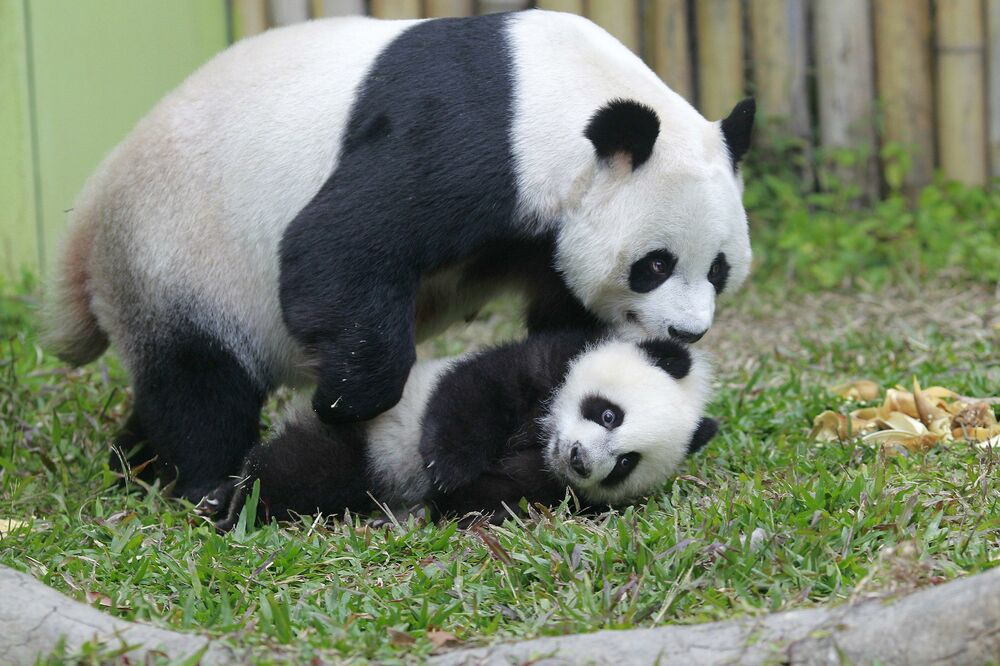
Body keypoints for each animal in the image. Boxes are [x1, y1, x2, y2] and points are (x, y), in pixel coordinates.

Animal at [43, 10, 752, 500]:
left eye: (719, 270)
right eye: (655, 264)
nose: (688, 332)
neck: (555, 89)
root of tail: (90, 218)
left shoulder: (543, 230)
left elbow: (562, 319)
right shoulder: (469, 137)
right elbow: (340, 241)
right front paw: (345, 402)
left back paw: (132, 463)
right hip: (178, 250)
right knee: (199, 379)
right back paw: (203, 480)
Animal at [215, 330, 720, 528]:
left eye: (624, 463)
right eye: (609, 415)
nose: (579, 460)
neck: (542, 438)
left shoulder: (551, 484)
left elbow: (498, 494)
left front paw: (443, 500)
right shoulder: (546, 360)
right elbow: (472, 394)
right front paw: (449, 468)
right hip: (366, 436)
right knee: (296, 469)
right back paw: (234, 503)